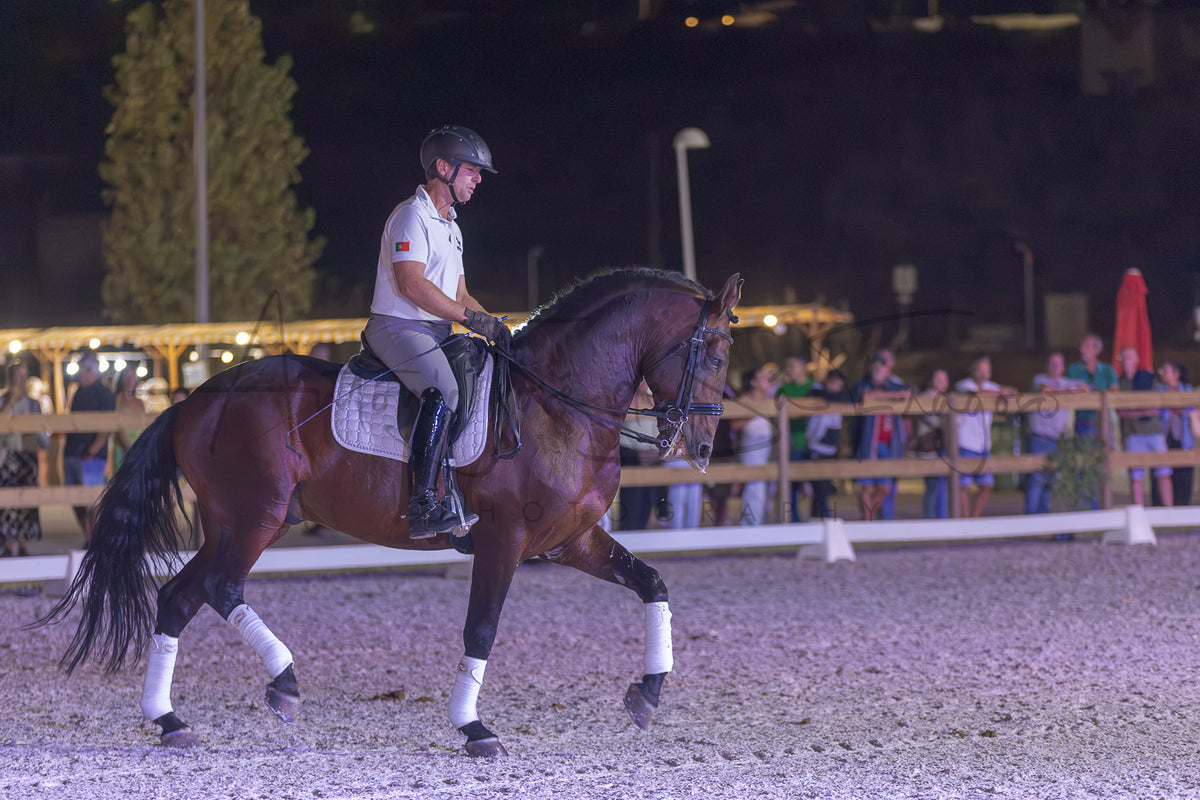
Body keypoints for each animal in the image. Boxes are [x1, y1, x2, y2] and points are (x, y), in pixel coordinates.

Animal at [35, 268, 742, 757]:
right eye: (712, 354)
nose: (704, 449)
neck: (556, 402)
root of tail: (195, 398)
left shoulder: (571, 540)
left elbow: (653, 582)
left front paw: (648, 695)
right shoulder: (504, 538)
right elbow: (481, 629)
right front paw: (474, 728)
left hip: (237, 521)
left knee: (179, 597)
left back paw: (170, 721)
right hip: (254, 518)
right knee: (217, 586)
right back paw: (283, 682)